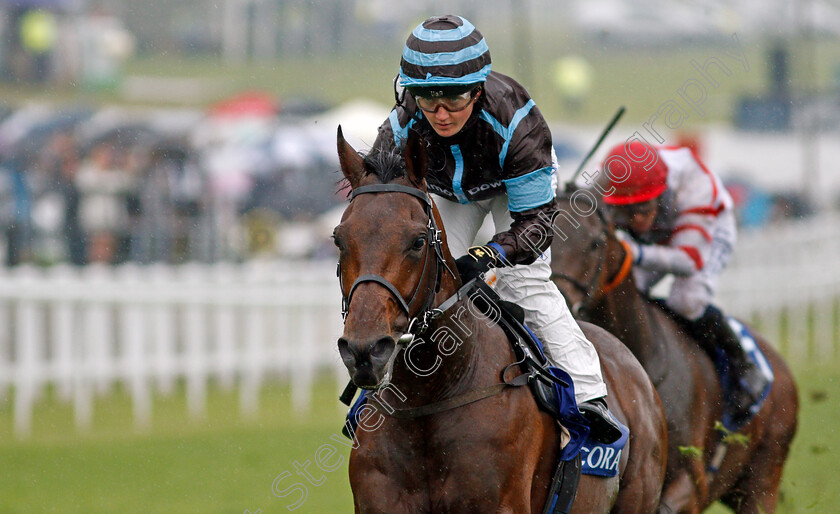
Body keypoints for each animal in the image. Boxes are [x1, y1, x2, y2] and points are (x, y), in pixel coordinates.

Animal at [548, 189, 796, 512]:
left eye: (595, 242)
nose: (561, 301)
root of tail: (780, 365)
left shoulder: (689, 483)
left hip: (761, 483)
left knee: (690, 299)